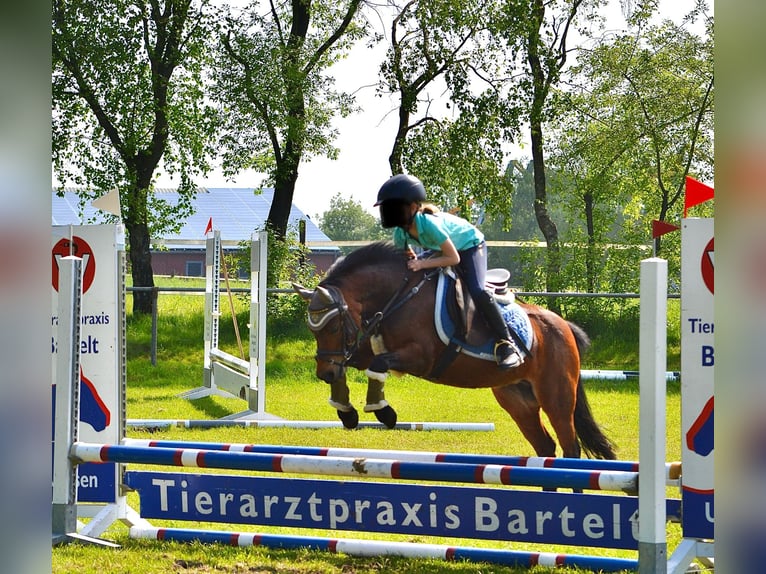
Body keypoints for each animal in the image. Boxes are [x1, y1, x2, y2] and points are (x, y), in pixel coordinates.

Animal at [294, 243, 616, 464]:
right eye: (312, 329)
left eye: (333, 325)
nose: (324, 374)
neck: (399, 295)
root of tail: (563, 326)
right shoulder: (363, 348)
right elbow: (354, 363)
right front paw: (346, 411)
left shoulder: (421, 358)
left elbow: (378, 364)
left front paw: (383, 412)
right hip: (518, 399)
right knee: (545, 447)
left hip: (556, 397)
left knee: (570, 448)